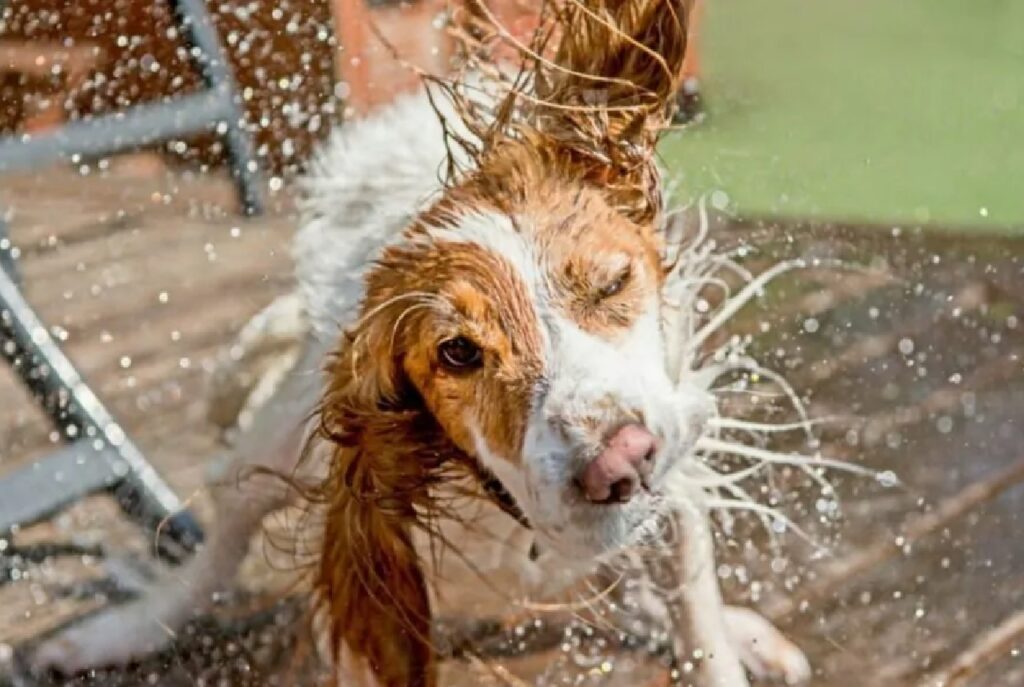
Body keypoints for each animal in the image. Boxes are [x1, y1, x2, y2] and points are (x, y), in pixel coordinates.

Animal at [34, 2, 815, 683]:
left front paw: (721, 638)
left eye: (613, 282)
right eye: (458, 353)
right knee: (221, 534)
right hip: (275, 440)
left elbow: (694, 605)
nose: (619, 463)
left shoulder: (676, 462)